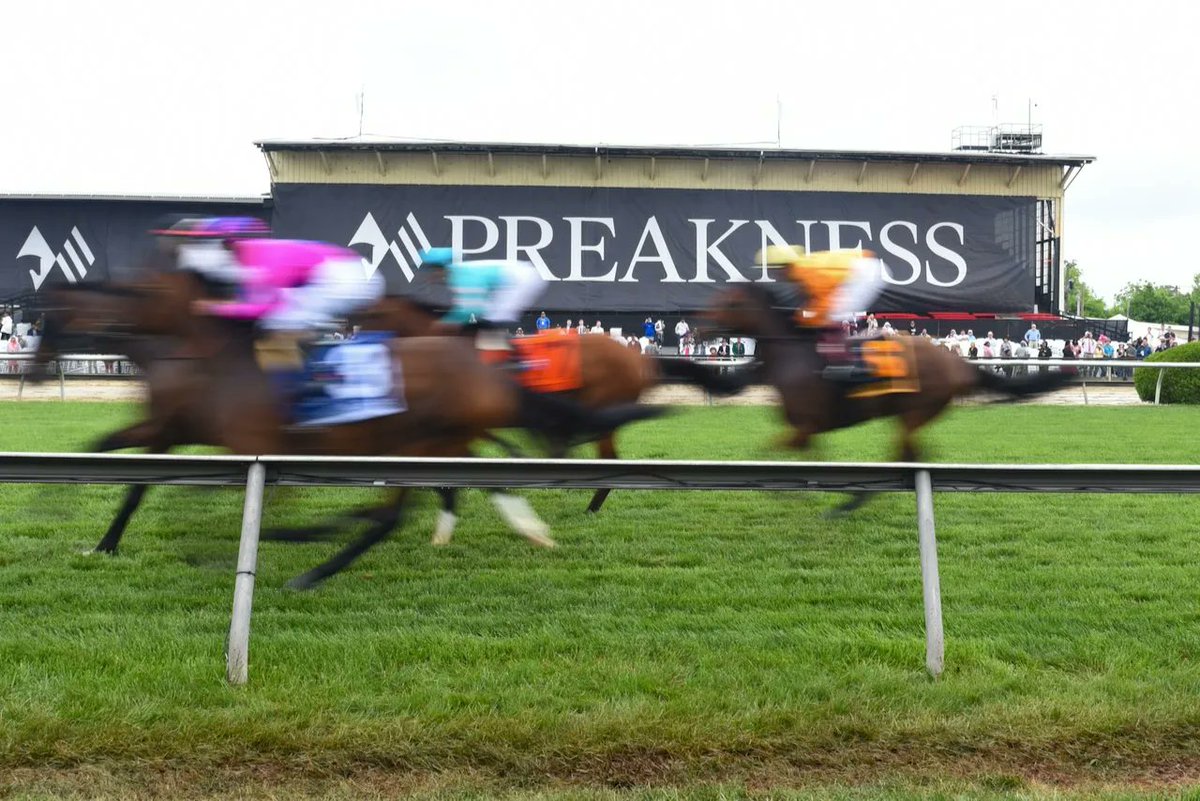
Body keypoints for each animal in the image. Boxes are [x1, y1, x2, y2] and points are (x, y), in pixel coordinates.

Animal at [700, 287, 1075, 513]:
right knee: (915, 452)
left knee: (904, 453)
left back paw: (854, 501)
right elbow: (811, 458)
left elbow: (767, 452)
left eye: (729, 302)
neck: (796, 357)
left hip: (916, 410)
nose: (700, 325)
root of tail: (956, 362)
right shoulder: (807, 430)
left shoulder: (805, 426)